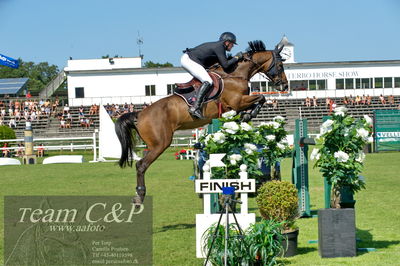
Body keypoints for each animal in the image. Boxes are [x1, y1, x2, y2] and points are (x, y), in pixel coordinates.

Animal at [115, 40, 288, 206]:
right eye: (280, 65)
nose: (285, 85)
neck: (236, 75)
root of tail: (140, 114)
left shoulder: (235, 106)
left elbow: (257, 101)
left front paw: (246, 115)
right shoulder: (237, 102)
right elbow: (261, 97)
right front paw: (250, 114)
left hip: (154, 145)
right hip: (160, 144)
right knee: (141, 165)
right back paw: (140, 196)